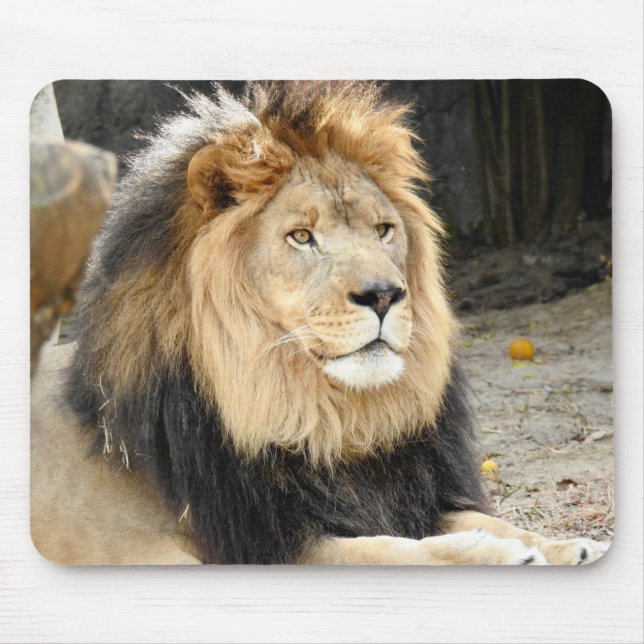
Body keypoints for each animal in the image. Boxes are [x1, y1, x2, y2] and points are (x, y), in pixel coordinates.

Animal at [31, 81, 608, 565]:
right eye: (302, 237)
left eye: (383, 230)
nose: (384, 295)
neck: (326, 418)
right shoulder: (260, 544)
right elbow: (387, 552)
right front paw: (495, 556)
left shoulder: (405, 492)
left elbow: (486, 519)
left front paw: (568, 546)